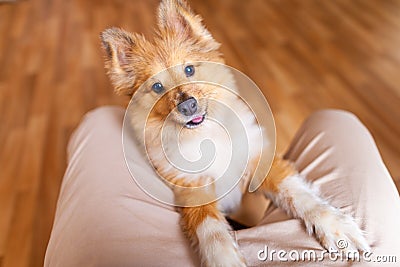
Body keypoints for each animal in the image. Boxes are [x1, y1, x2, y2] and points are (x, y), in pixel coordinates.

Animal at [99, 0, 368, 266]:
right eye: (156, 87)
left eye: (189, 70)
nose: (188, 106)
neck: (206, 135)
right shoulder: (193, 190)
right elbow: (212, 233)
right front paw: (227, 259)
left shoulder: (261, 160)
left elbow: (299, 194)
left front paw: (337, 228)